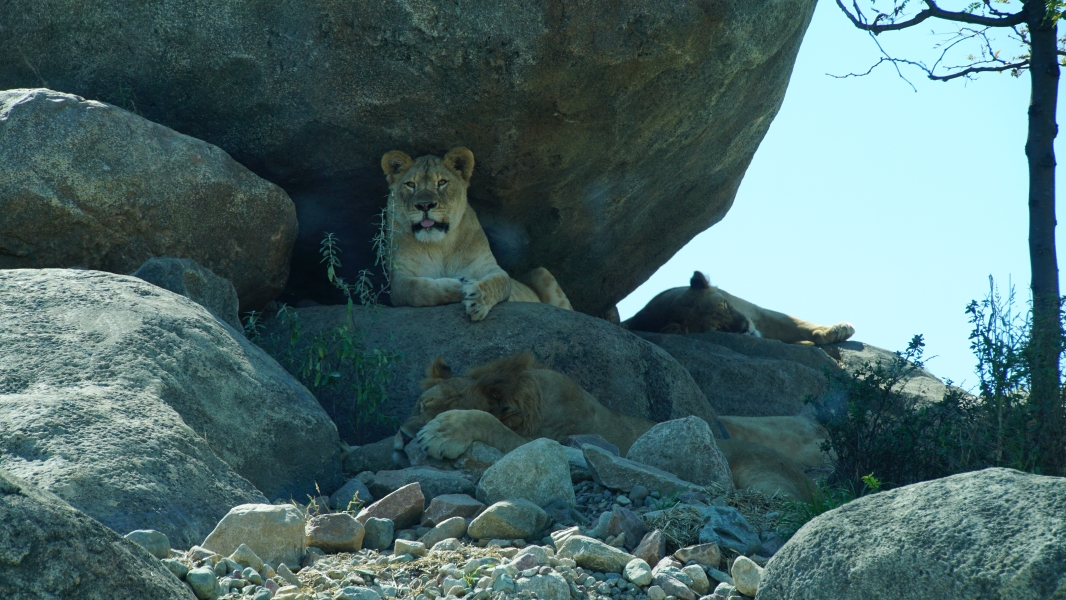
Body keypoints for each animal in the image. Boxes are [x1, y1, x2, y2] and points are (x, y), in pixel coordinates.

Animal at [381, 147, 572, 321]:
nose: (425, 205)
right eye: (410, 184)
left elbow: (500, 283)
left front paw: (477, 299)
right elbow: (419, 290)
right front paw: (460, 283)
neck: (440, 244)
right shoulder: (398, 280)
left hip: (542, 272)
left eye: (442, 182)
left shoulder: (490, 267)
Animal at [394, 352, 823, 502]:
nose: (401, 438)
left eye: (430, 411)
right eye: (419, 404)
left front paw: (441, 433)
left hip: (758, 474)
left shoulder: (552, 442)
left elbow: (487, 422)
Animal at [624, 271, 855, 345]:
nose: (746, 327)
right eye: (718, 328)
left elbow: (797, 324)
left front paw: (835, 330)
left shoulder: (756, 312)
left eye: (725, 305)